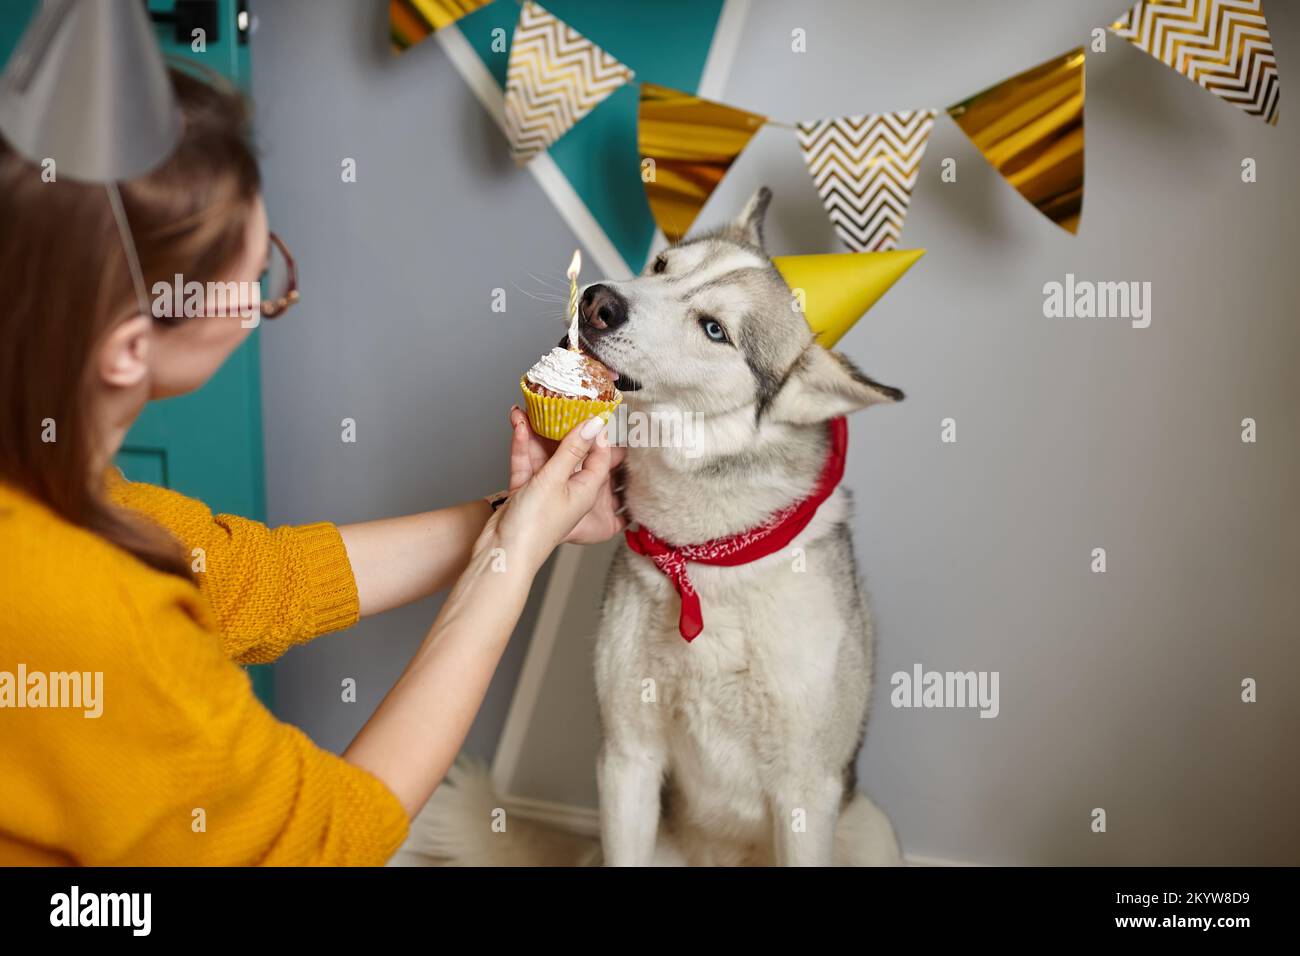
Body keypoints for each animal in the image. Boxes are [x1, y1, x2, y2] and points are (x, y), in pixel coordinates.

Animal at [403, 191, 904, 868]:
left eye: (715, 328)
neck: (708, 558)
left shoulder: (807, 790)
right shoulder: (625, 757)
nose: (597, 301)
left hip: (869, 826)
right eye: (662, 265)